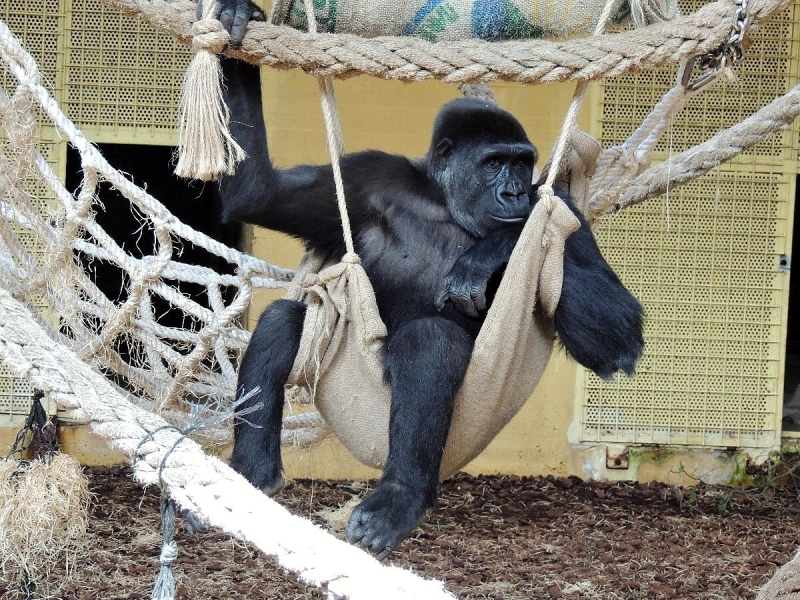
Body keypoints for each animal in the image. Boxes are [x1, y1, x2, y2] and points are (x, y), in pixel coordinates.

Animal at [212, 4, 644, 560]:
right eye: (494, 163)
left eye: (523, 162)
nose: (513, 194)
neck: (443, 200)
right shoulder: (366, 179)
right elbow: (258, 195)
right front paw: (234, 23)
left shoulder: (564, 211)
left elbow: (617, 337)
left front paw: (501, 245)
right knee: (288, 319)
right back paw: (253, 475)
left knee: (428, 341)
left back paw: (399, 496)